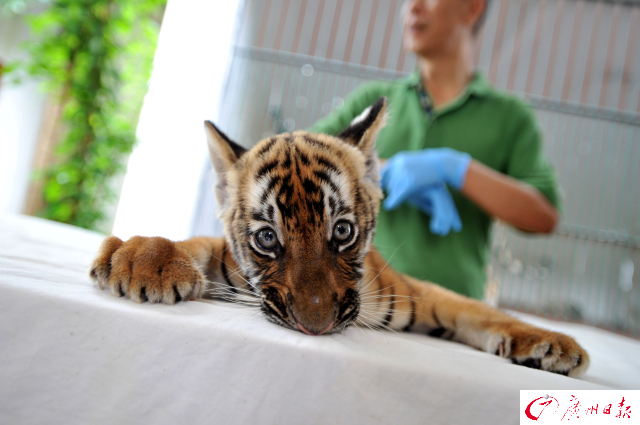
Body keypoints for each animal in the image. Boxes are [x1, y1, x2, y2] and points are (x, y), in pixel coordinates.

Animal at [90, 97, 589, 377]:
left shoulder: (417, 291)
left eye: (343, 231)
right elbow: (197, 244)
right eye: (267, 239)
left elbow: (479, 310)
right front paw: (143, 258)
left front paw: (554, 344)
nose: (317, 326)